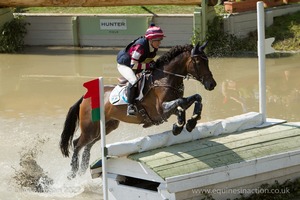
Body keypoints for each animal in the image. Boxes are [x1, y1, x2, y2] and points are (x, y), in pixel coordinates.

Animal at [59, 41, 217, 178]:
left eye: (207, 61)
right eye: (198, 62)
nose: (212, 84)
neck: (166, 79)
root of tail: (85, 97)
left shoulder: (173, 106)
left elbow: (195, 98)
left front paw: (191, 123)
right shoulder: (161, 111)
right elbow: (179, 104)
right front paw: (178, 126)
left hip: (106, 127)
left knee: (88, 145)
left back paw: (83, 168)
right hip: (90, 128)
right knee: (77, 144)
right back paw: (73, 172)